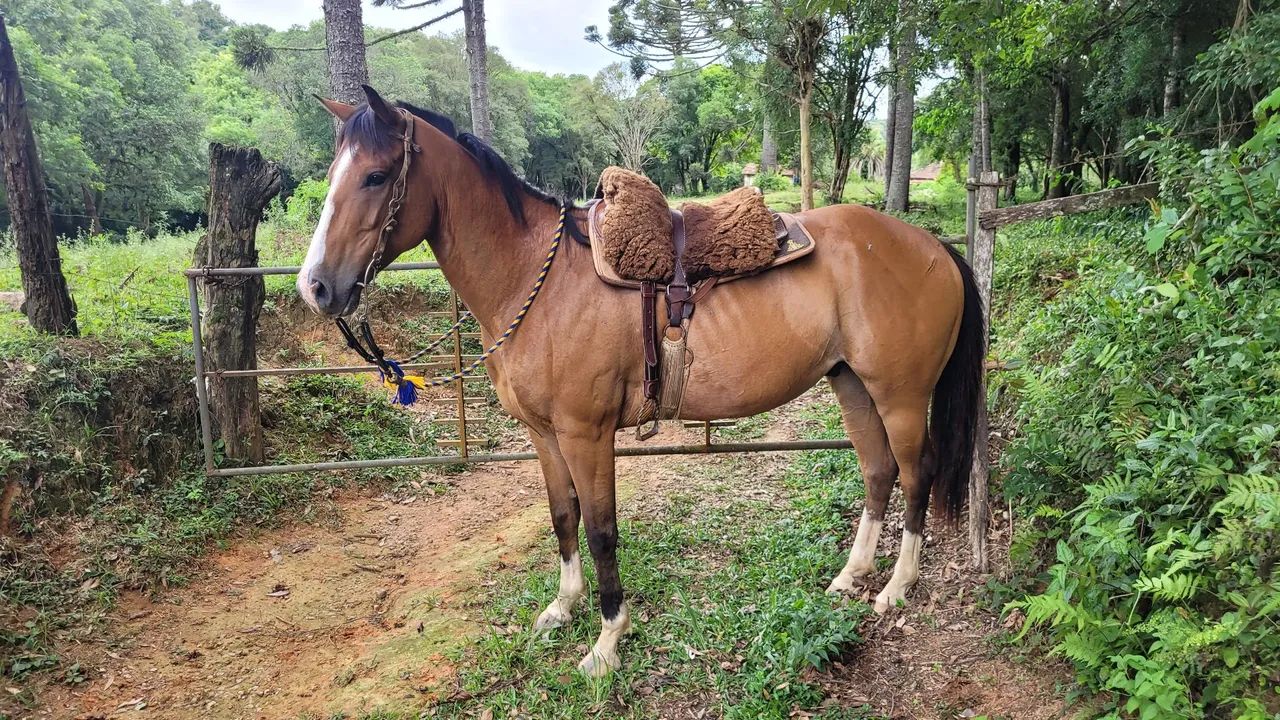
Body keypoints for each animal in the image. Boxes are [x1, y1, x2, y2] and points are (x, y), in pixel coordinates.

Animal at [297, 86, 984, 677]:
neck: (539, 280)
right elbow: (563, 516)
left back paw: (896, 587)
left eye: (376, 176)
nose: (316, 287)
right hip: (851, 385)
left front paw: (607, 639)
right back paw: (850, 575)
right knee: (878, 470)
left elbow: (601, 530)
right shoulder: (545, 435)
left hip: (899, 395)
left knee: (916, 473)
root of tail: (933, 246)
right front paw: (563, 607)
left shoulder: (587, 434)